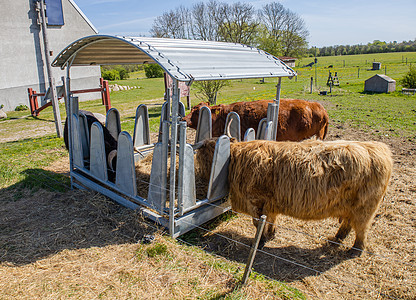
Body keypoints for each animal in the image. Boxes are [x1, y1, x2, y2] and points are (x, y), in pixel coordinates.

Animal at [196, 138, 394, 253]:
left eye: (204, 154)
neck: (235, 160)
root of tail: (378, 147)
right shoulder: (271, 203)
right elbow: (270, 220)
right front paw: (271, 235)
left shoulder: (256, 201)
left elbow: (258, 223)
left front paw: (259, 242)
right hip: (351, 206)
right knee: (347, 223)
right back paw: (336, 239)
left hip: (364, 207)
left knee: (361, 228)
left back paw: (355, 250)